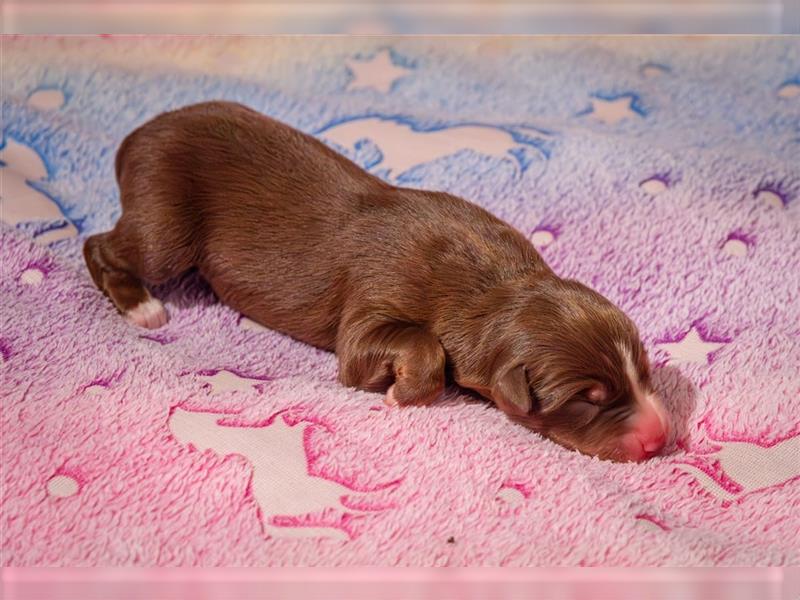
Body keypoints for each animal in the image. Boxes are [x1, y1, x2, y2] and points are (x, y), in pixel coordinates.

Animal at [83, 101, 668, 462]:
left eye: (643, 372)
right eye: (588, 398)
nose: (660, 437)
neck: (494, 283)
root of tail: (134, 138)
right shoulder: (375, 301)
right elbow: (400, 346)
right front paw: (398, 392)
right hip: (166, 223)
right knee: (102, 244)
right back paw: (141, 306)